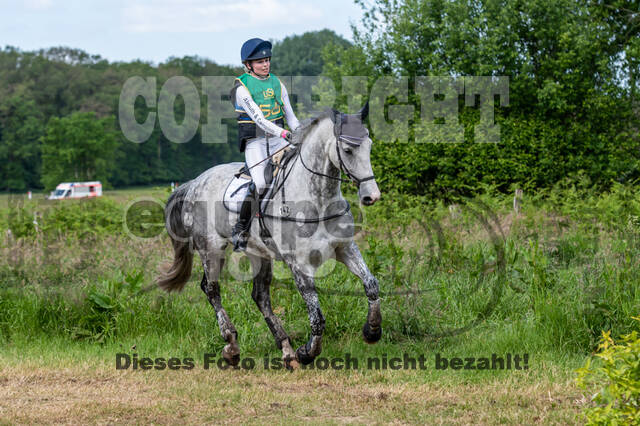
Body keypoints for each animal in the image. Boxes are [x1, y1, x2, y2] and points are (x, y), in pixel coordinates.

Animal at [157, 104, 382, 368]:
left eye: (369, 145)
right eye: (347, 150)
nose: (372, 196)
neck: (317, 200)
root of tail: (194, 182)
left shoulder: (345, 248)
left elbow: (371, 284)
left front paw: (372, 331)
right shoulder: (299, 264)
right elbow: (317, 316)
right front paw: (308, 352)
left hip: (259, 254)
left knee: (260, 296)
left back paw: (286, 349)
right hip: (210, 249)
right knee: (211, 289)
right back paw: (231, 345)